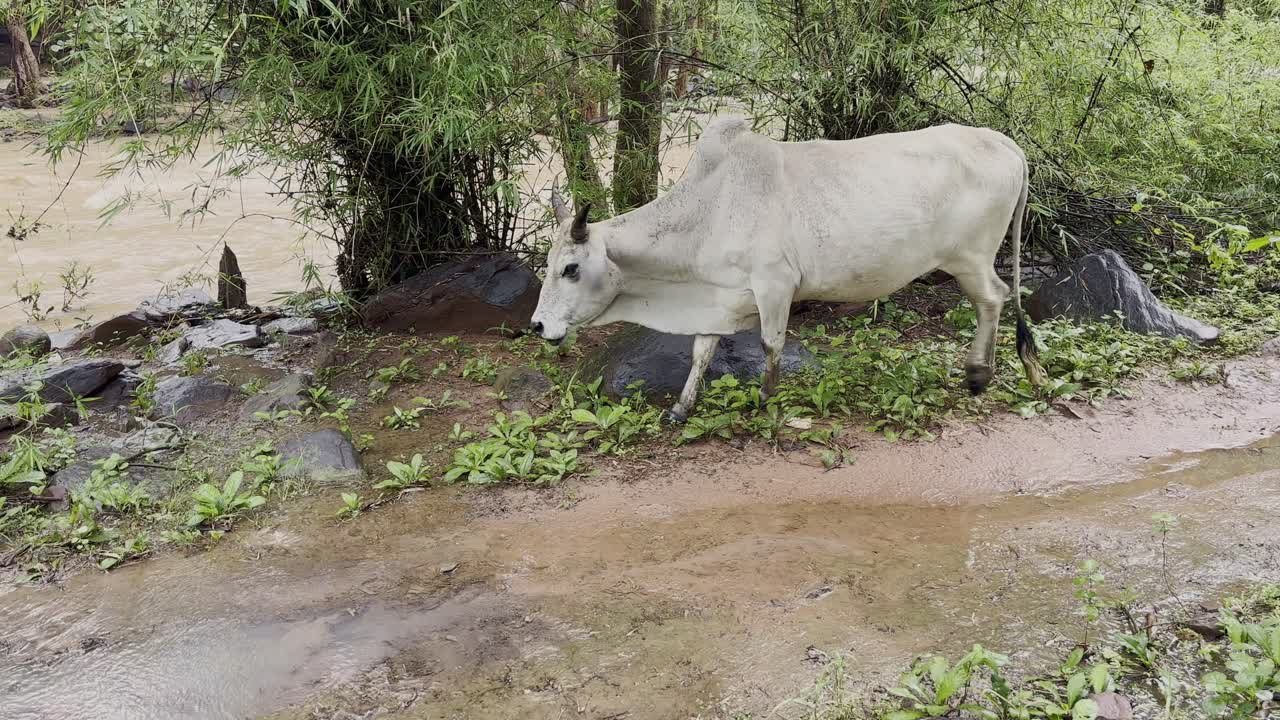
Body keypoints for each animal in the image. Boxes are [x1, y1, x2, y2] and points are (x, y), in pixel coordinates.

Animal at [530, 116, 1047, 421]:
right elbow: (701, 352)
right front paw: (681, 408)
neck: (711, 207)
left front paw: (766, 399)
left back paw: (980, 375)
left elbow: (770, 343)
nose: (536, 326)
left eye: (570, 268)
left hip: (971, 258)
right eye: (549, 265)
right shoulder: (719, 296)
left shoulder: (774, 284)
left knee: (993, 298)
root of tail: (1005, 142)